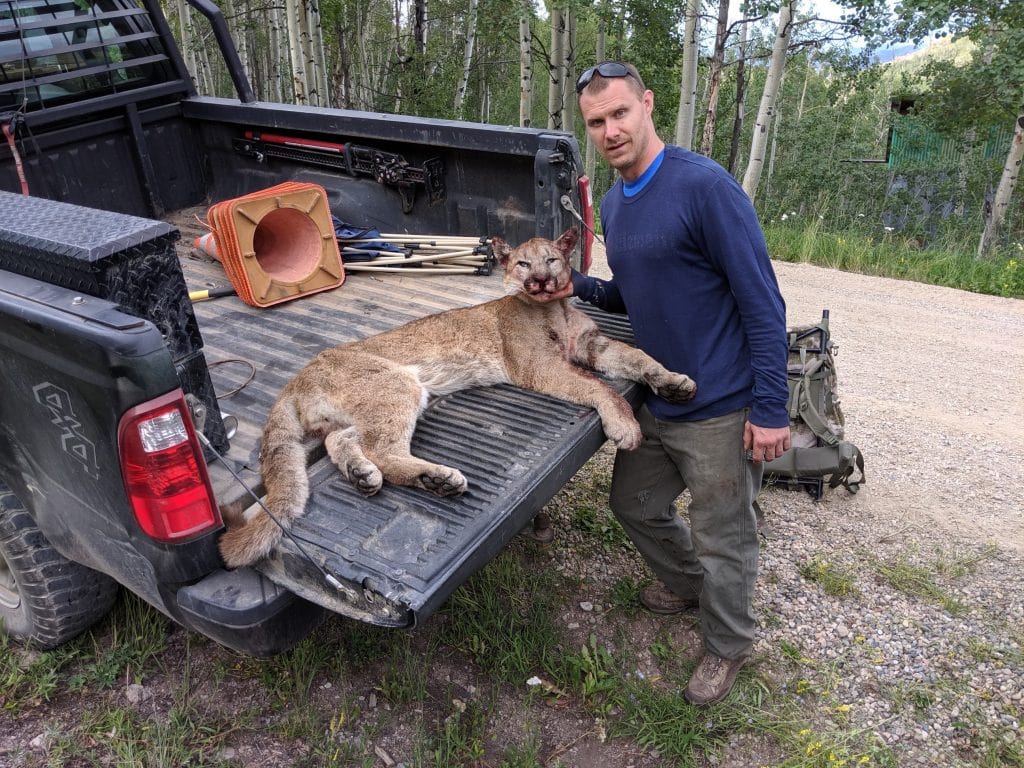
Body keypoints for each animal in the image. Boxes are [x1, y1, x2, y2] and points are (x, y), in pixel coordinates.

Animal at [218, 228, 696, 573]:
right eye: (523, 263)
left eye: (552, 259)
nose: (540, 279)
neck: (552, 309)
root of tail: (299, 374)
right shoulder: (540, 367)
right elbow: (600, 387)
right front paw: (625, 426)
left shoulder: (594, 345)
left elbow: (638, 357)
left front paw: (674, 382)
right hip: (398, 386)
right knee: (383, 448)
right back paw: (438, 479)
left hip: (365, 408)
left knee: (344, 440)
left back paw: (363, 475)